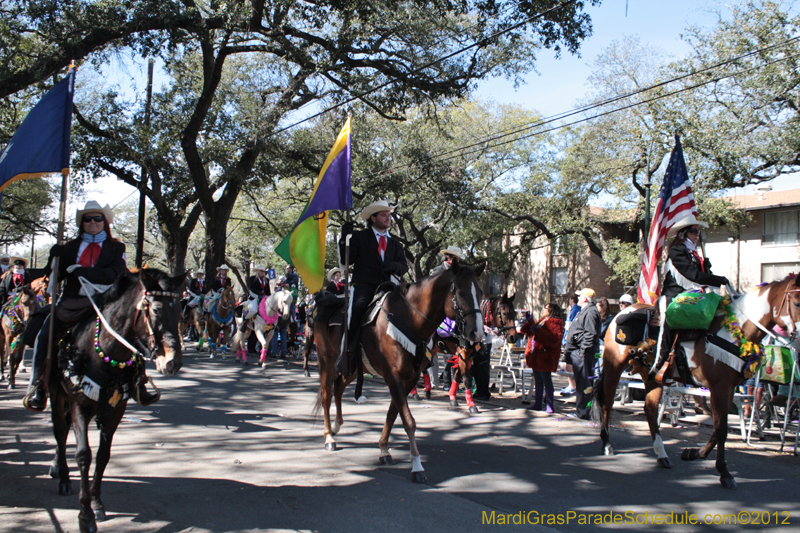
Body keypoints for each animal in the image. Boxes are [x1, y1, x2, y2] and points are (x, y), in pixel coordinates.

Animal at [47, 268, 186, 532]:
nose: (173, 363)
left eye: (181, 310)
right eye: (156, 310)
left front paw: (97, 502)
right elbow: (83, 454)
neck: (105, 352)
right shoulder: (78, 404)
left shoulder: (117, 408)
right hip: (57, 396)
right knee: (60, 431)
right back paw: (62, 476)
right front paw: (85, 515)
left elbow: (103, 454)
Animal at [312, 258, 488, 482]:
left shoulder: (409, 378)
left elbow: (393, 414)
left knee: (339, 388)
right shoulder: (394, 377)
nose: (477, 334)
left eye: (480, 293)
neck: (409, 318)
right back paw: (328, 437)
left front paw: (384, 449)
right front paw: (417, 466)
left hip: (352, 367)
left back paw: (336, 426)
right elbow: (409, 421)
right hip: (326, 359)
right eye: (460, 292)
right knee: (326, 394)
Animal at [592, 276, 800, 488]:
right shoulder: (719, 387)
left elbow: (718, 429)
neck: (734, 330)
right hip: (613, 366)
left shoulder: (728, 388)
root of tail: (621, 313)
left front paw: (693, 453)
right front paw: (724, 472)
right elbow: (721, 429)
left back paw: (662, 454)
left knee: (649, 409)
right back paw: (607, 444)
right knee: (607, 403)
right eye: (797, 303)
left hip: (651, 376)